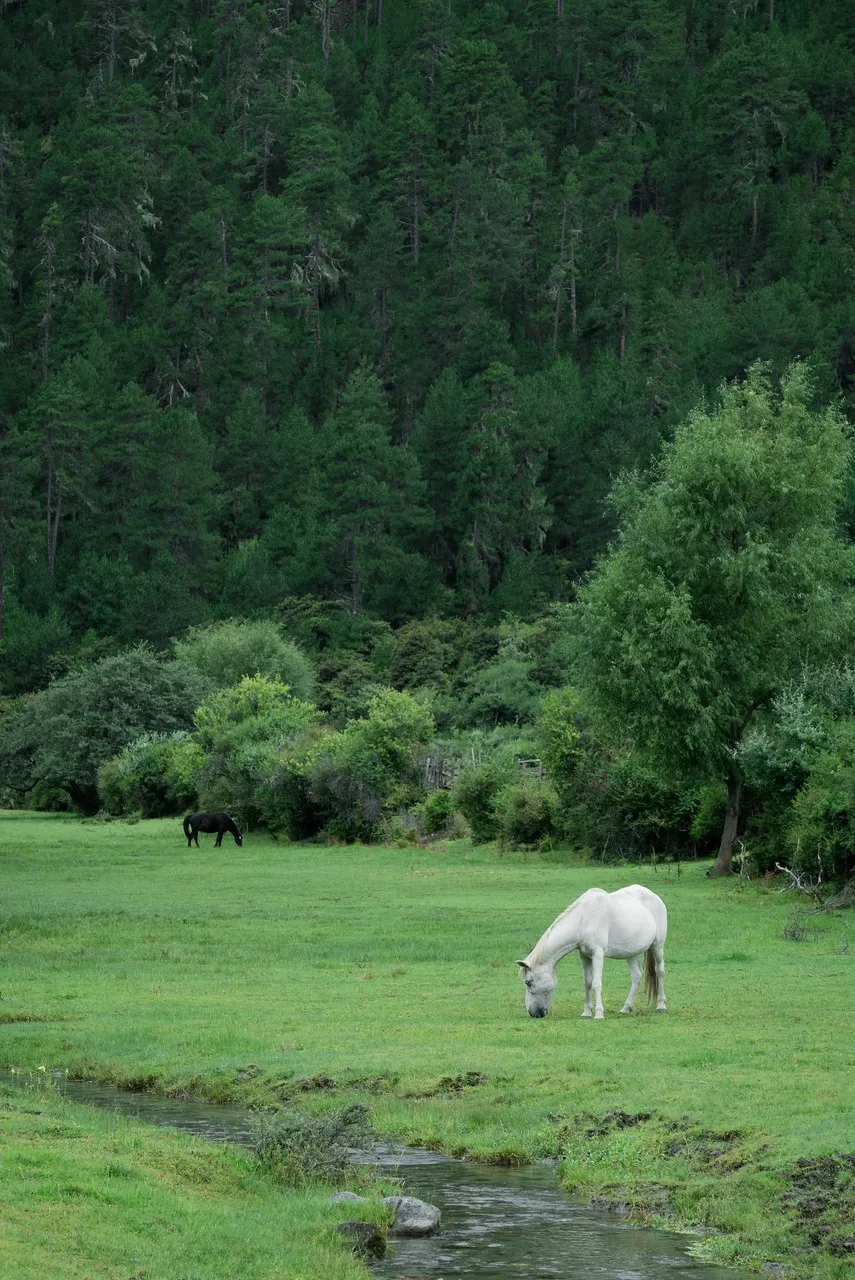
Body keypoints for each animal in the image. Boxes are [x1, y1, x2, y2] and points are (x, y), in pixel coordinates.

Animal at [514, 890, 665, 1018]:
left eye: (528, 982)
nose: (533, 1013)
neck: (584, 919)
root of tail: (653, 895)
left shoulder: (597, 954)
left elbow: (596, 983)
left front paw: (598, 1013)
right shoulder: (584, 955)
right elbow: (587, 982)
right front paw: (586, 1012)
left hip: (657, 946)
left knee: (659, 971)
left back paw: (661, 1006)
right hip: (630, 953)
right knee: (637, 976)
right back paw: (625, 1008)